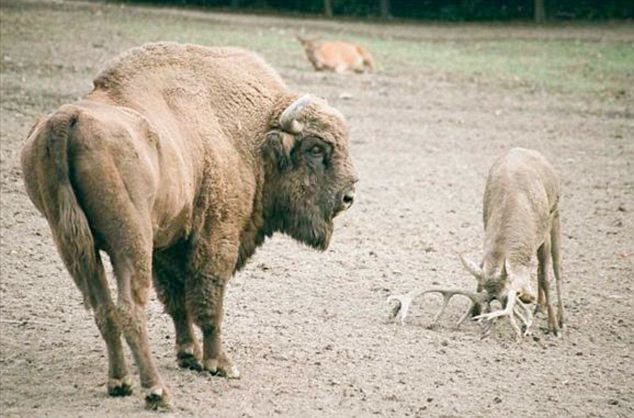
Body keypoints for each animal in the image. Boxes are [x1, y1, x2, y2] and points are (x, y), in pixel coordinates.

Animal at [21, 42, 356, 408]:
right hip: (130, 243)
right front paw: (219, 364)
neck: (252, 133)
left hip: (72, 244)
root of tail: (68, 120)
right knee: (129, 309)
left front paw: (188, 355)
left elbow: (177, 301)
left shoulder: (168, 244)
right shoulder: (216, 236)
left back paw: (120, 382)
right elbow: (209, 300)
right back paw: (156, 391)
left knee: (103, 309)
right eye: (315, 148)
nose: (348, 196)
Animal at [388, 149, 564, 338]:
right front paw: (476, 311)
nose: (526, 297)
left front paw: (553, 327)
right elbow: (482, 268)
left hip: (556, 213)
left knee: (555, 267)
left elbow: (545, 276)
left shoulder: (545, 228)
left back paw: (559, 317)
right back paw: (540, 307)